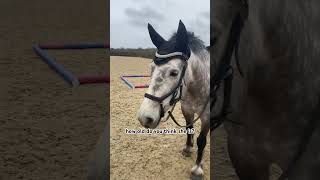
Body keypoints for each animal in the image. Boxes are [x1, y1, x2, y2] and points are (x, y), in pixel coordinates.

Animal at [138, 20, 210, 179]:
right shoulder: (187, 109)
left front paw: (197, 168)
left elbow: (202, 140)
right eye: (151, 68)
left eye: (174, 73)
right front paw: (188, 149)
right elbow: (189, 129)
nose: (144, 118)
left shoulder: (207, 116)